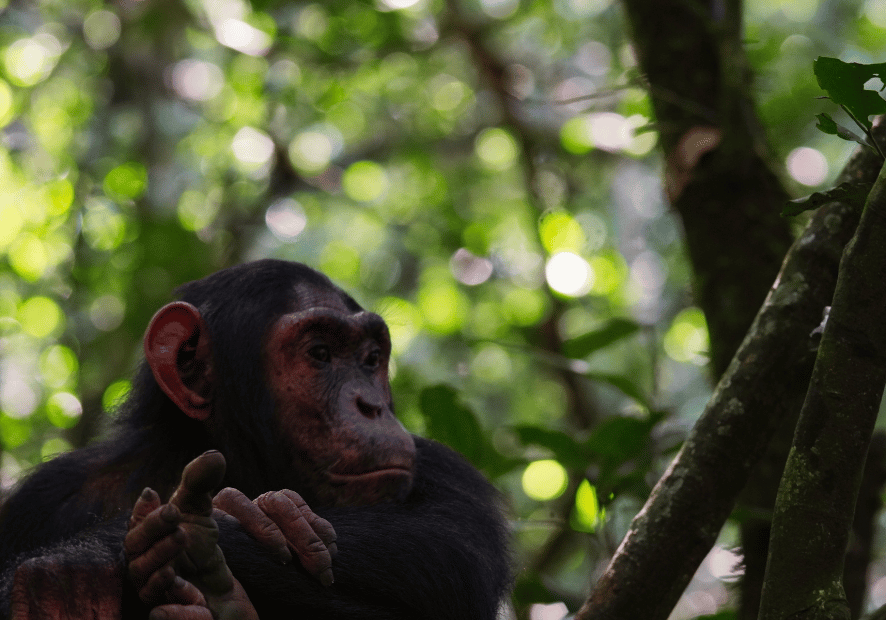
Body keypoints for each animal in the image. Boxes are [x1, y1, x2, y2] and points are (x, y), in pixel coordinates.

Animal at [0, 260, 512, 620]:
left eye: (369, 359)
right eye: (320, 354)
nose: (371, 405)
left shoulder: (447, 470)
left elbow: (452, 543)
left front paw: (233, 521)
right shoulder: (48, 494)